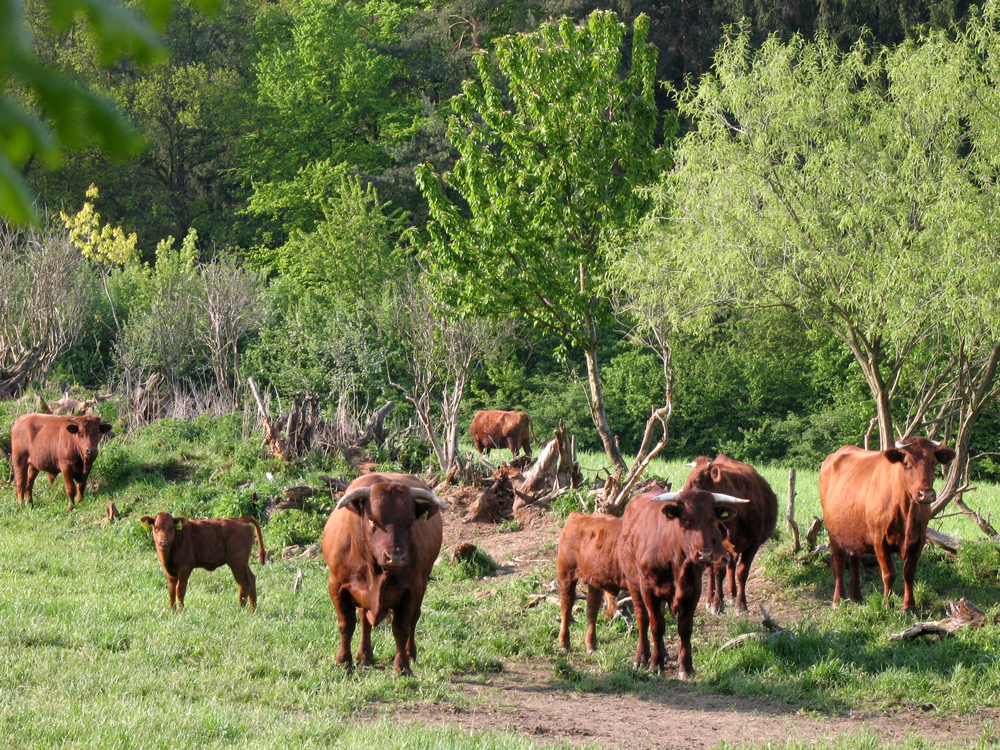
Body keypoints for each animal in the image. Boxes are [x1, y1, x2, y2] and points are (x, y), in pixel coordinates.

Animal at [322, 472, 448, 680]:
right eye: (372, 520)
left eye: (410, 522)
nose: (395, 557)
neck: (375, 571)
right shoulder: (337, 585)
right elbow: (346, 625)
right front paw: (344, 662)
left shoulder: (411, 590)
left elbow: (402, 629)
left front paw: (403, 667)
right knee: (364, 620)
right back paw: (364, 655)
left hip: (423, 582)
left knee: (414, 619)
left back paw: (410, 654)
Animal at [556, 516, 624, 656]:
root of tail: (577, 516)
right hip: (566, 574)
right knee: (566, 605)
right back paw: (564, 643)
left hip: (594, 582)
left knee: (591, 609)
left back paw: (591, 645)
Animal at [612, 488, 748, 680]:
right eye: (685, 519)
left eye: (712, 520)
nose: (705, 554)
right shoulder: (648, 589)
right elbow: (656, 626)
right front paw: (655, 664)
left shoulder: (694, 590)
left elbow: (685, 628)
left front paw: (686, 667)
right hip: (633, 583)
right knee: (642, 618)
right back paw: (642, 657)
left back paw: (663, 653)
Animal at [680, 456, 780, 612]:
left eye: (696, 481)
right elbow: (718, 572)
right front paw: (717, 603)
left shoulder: (753, 545)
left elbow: (742, 572)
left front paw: (741, 604)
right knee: (710, 570)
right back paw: (710, 599)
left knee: (731, 565)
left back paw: (731, 595)